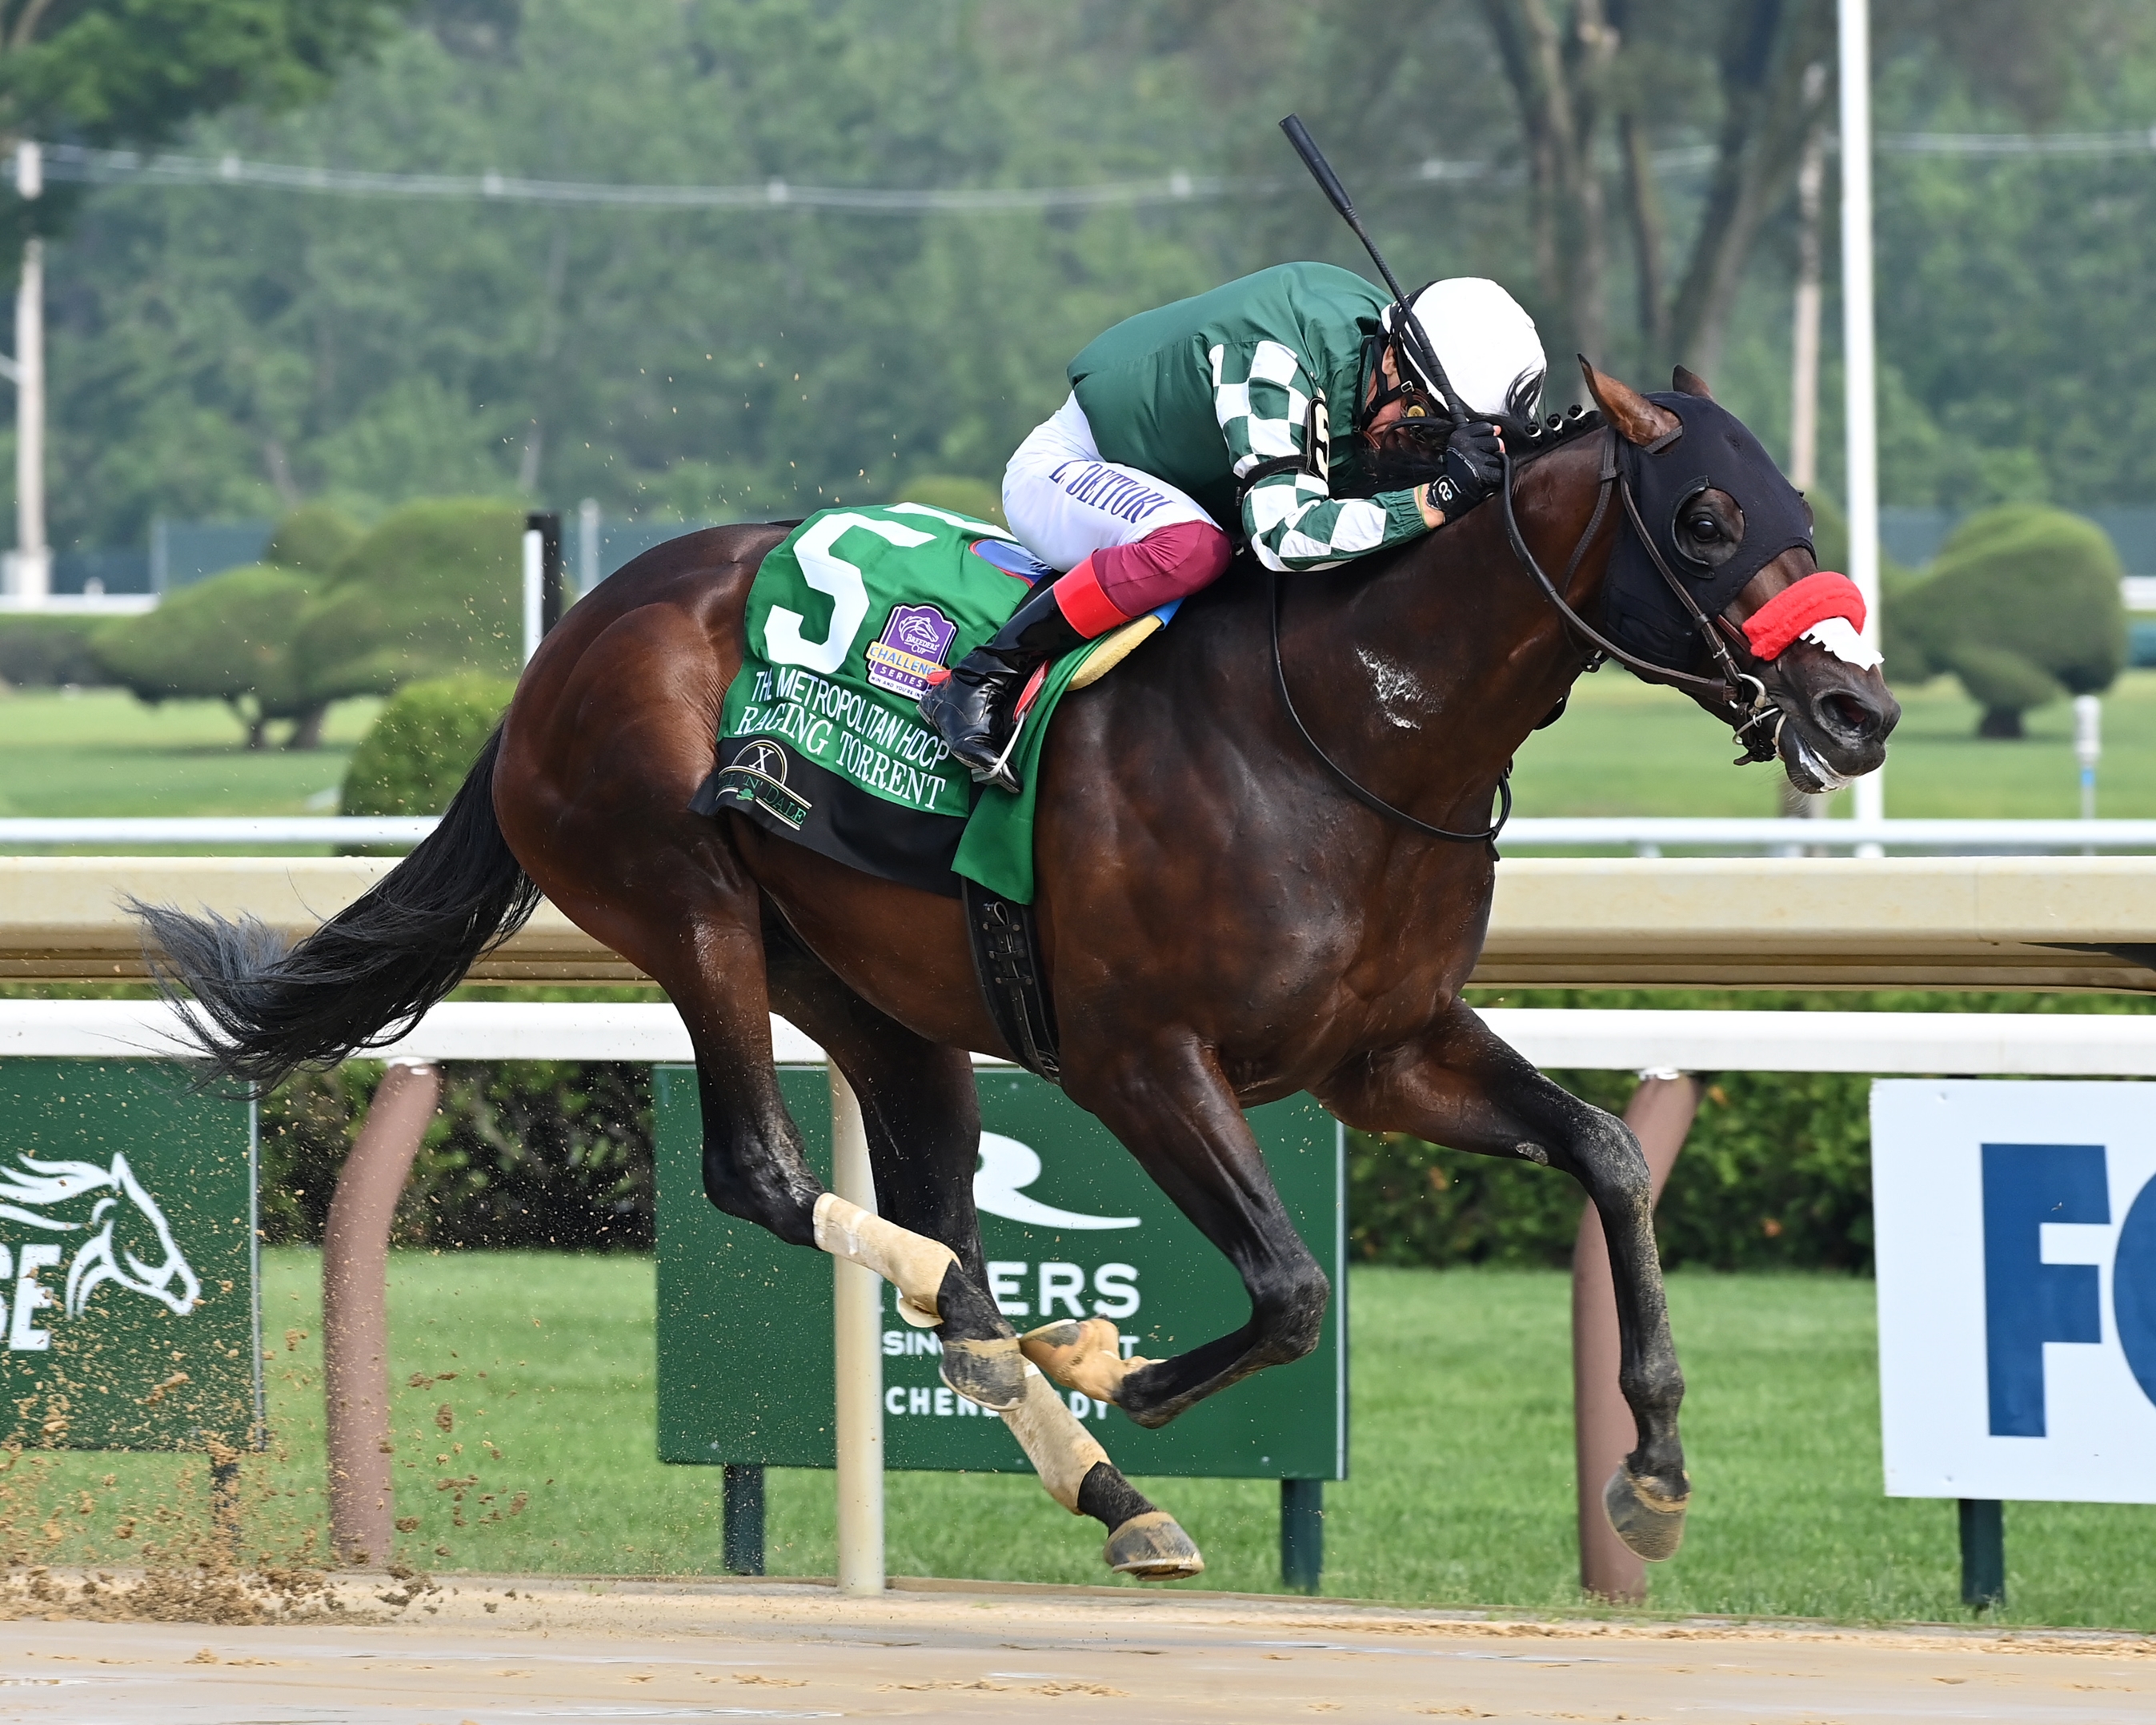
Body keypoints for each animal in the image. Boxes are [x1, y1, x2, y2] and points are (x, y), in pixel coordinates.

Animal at [134, 361, 1898, 1580]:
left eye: (1795, 504)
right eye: (1707, 521)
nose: (1859, 712)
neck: (1355, 721)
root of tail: (572, 631)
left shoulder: (1382, 1049)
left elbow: (1606, 1154)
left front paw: (1653, 1468)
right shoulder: (1142, 1056)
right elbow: (1288, 1286)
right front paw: (1132, 1367)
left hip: (871, 987)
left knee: (924, 1188)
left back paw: (1077, 1448)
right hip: (684, 899)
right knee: (764, 1173)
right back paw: (1010, 1344)